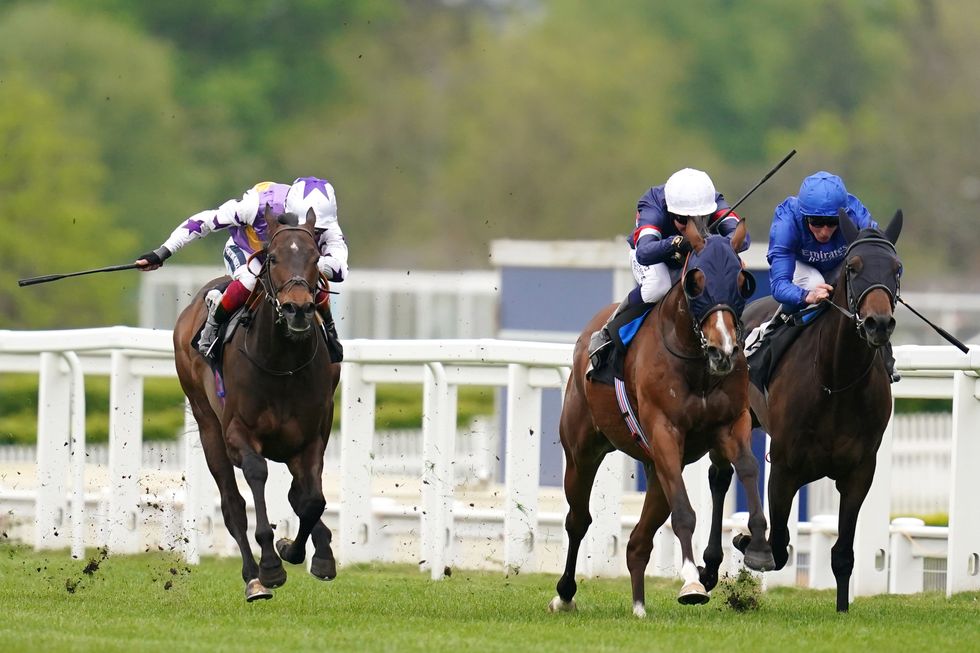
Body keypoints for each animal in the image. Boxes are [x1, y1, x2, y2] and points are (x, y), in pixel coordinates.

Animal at [174, 206, 342, 600]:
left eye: (316, 259)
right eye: (274, 257)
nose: (298, 310)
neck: (281, 363)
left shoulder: (311, 438)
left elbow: (312, 500)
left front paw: (302, 553)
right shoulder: (238, 433)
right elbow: (256, 475)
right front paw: (271, 565)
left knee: (300, 494)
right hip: (208, 427)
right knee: (232, 504)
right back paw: (253, 578)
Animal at [548, 219, 768, 616]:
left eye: (743, 281)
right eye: (696, 281)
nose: (724, 351)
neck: (696, 363)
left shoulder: (732, 423)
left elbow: (747, 467)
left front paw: (758, 546)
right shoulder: (664, 430)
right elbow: (684, 513)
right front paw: (692, 581)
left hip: (656, 466)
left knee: (638, 541)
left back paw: (638, 605)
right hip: (583, 451)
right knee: (579, 520)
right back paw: (565, 593)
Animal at [736, 209, 904, 612]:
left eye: (897, 268)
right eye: (854, 267)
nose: (878, 323)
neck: (836, 381)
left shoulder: (860, 472)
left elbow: (842, 553)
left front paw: (843, 609)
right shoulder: (784, 469)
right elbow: (778, 548)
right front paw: (747, 542)